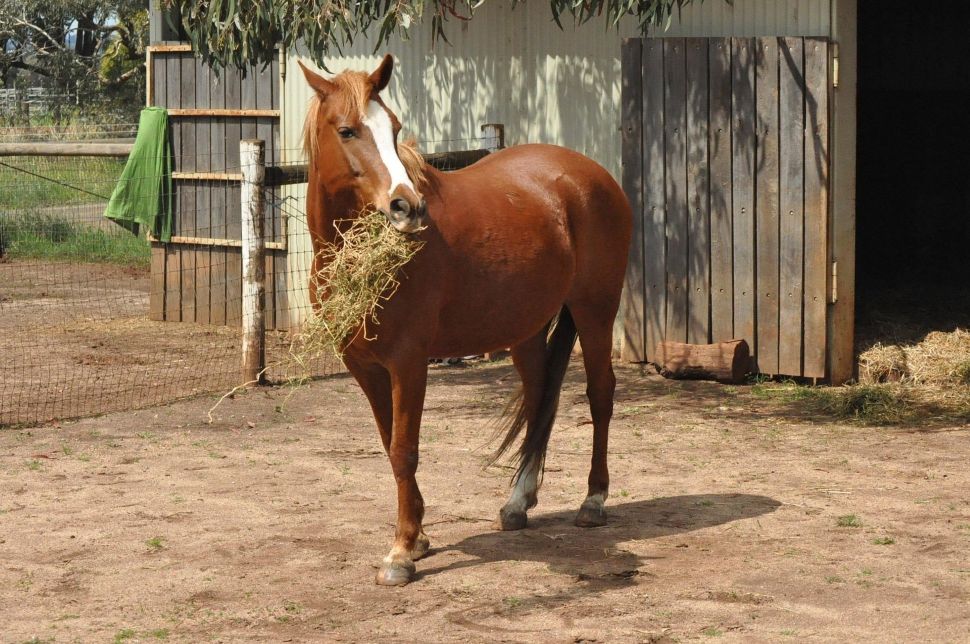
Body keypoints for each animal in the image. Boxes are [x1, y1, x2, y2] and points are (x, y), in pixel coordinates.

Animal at [299, 55, 632, 586]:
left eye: (394, 128)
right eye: (347, 130)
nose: (406, 206)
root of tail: (592, 174)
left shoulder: (409, 362)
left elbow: (404, 450)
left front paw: (401, 552)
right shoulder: (364, 366)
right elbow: (388, 443)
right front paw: (418, 537)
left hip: (596, 311)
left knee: (600, 396)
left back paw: (593, 500)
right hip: (526, 329)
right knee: (540, 399)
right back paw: (518, 502)